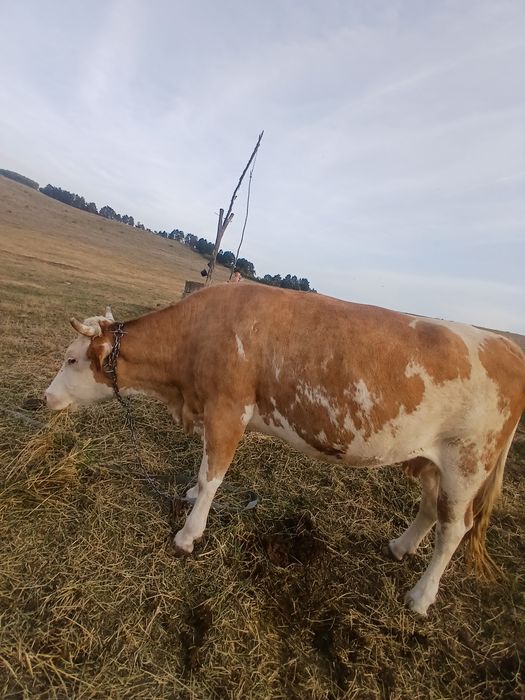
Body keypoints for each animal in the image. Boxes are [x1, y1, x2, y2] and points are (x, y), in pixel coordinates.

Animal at [44, 283, 525, 615]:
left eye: (71, 359)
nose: (47, 397)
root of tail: (506, 343)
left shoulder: (229, 408)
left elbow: (212, 474)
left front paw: (188, 533)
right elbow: (203, 468)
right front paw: (190, 497)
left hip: (467, 462)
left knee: (454, 529)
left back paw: (421, 596)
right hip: (429, 459)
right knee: (429, 510)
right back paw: (399, 547)